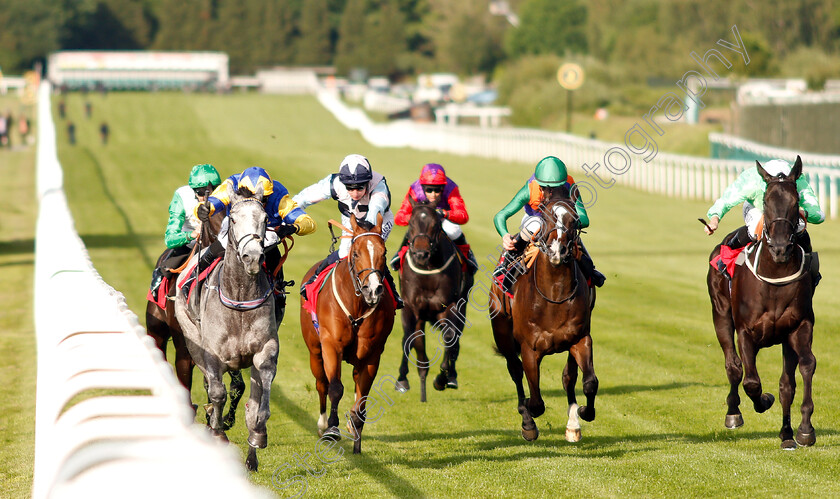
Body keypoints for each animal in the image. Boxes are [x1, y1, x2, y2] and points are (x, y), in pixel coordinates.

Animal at [174, 188, 278, 472]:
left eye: (265, 218)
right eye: (233, 219)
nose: (252, 257)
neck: (239, 298)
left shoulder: (265, 350)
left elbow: (259, 403)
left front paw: (258, 435)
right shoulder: (212, 352)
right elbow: (218, 393)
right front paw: (218, 432)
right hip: (191, 340)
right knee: (211, 385)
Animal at [300, 213, 396, 456]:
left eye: (384, 253)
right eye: (356, 253)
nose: (373, 289)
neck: (357, 306)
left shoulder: (372, 355)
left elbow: (362, 400)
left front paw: (356, 437)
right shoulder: (331, 346)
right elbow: (335, 388)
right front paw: (332, 429)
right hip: (315, 352)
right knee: (321, 384)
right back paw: (323, 424)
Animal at [488, 193, 600, 444]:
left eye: (574, 219)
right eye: (546, 216)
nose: (557, 250)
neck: (554, 293)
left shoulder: (580, 339)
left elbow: (589, 383)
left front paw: (583, 412)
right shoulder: (529, 348)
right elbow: (536, 401)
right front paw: (529, 421)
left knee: (569, 377)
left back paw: (573, 425)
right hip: (502, 331)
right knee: (515, 370)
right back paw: (527, 421)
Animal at [704, 158, 816, 452]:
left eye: (796, 200)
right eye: (766, 201)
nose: (780, 248)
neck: (774, 274)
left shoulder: (798, 327)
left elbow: (804, 368)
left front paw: (804, 430)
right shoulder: (745, 331)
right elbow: (751, 381)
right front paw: (763, 401)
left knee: (786, 383)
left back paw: (786, 434)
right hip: (720, 314)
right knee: (733, 366)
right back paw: (733, 413)